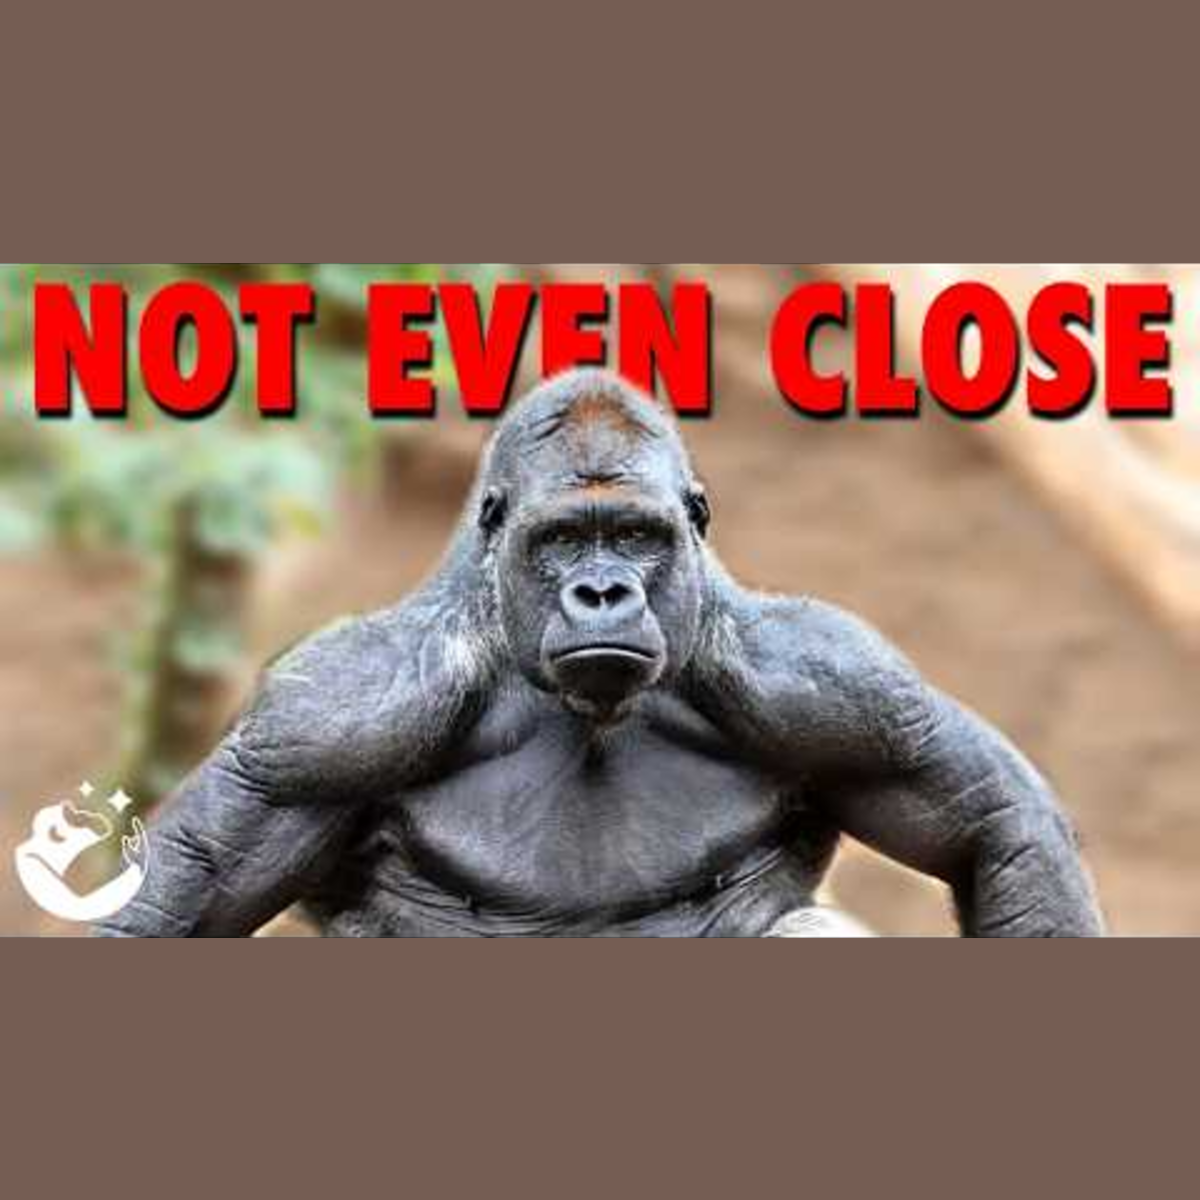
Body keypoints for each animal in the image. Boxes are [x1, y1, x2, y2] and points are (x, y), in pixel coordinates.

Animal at [96, 370, 1105, 938]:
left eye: (635, 537)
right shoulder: (330, 715)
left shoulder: (842, 686)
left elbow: (993, 824)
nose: (603, 593)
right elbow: (192, 882)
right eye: (563, 541)